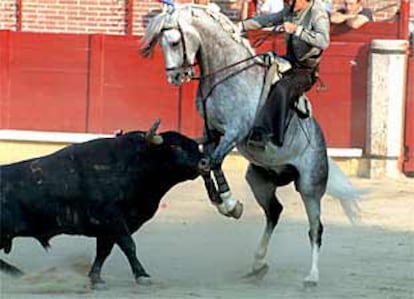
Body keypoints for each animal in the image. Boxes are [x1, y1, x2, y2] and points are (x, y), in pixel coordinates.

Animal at [0, 124, 204, 288]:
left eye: (196, 147)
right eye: (174, 146)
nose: (205, 162)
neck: (134, 164)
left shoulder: (108, 229)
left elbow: (104, 252)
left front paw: (95, 278)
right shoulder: (113, 219)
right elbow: (129, 245)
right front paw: (143, 276)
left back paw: (19, 274)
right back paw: (19, 274)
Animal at [142, 4, 362, 286]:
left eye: (174, 41)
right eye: (160, 44)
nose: (176, 77)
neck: (226, 74)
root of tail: (323, 146)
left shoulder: (236, 131)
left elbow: (210, 163)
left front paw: (228, 204)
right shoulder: (212, 133)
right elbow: (205, 164)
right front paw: (227, 205)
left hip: (310, 185)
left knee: (316, 228)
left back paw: (311, 277)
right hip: (259, 179)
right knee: (274, 212)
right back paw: (258, 264)